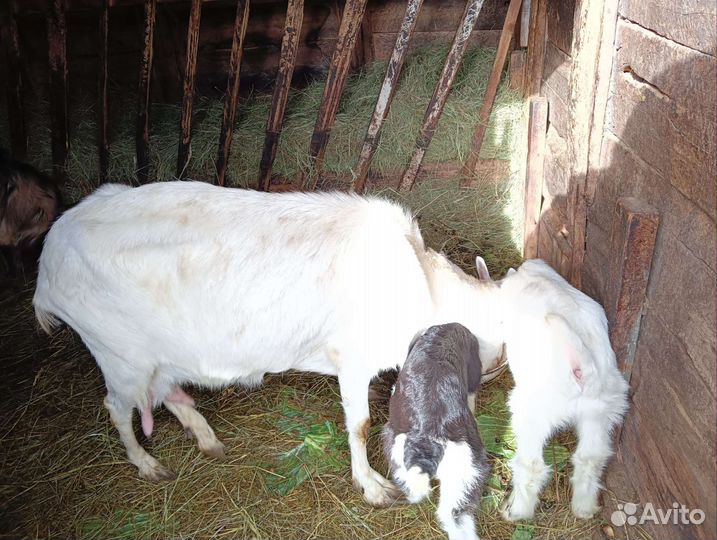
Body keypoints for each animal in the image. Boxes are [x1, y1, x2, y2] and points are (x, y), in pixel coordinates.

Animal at [33, 181, 504, 506]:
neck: (420, 283)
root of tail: (46, 267)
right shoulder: (352, 358)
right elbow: (359, 424)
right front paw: (372, 487)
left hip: (153, 352)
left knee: (162, 389)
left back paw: (206, 438)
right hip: (118, 352)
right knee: (117, 406)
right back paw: (148, 465)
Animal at [488, 259, 629, 521]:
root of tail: (585, 371)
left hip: (532, 415)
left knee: (532, 466)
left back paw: (516, 511)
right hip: (602, 413)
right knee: (590, 459)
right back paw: (584, 509)